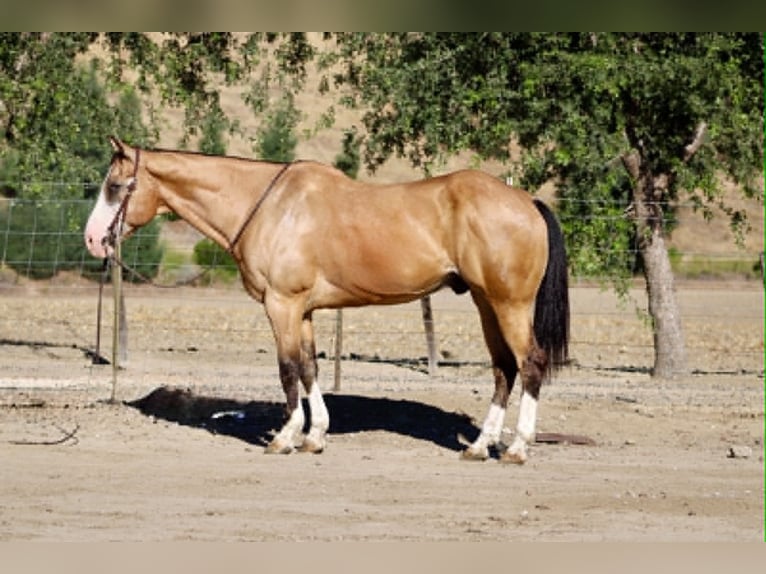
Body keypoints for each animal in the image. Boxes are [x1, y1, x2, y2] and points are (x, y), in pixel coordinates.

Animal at [85, 136, 569, 464]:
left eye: (116, 185)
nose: (92, 239)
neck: (270, 206)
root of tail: (525, 200)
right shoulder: (303, 311)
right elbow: (308, 369)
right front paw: (314, 436)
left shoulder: (281, 305)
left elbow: (286, 370)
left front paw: (284, 438)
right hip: (487, 304)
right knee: (504, 369)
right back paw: (480, 446)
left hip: (510, 305)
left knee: (529, 363)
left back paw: (518, 447)